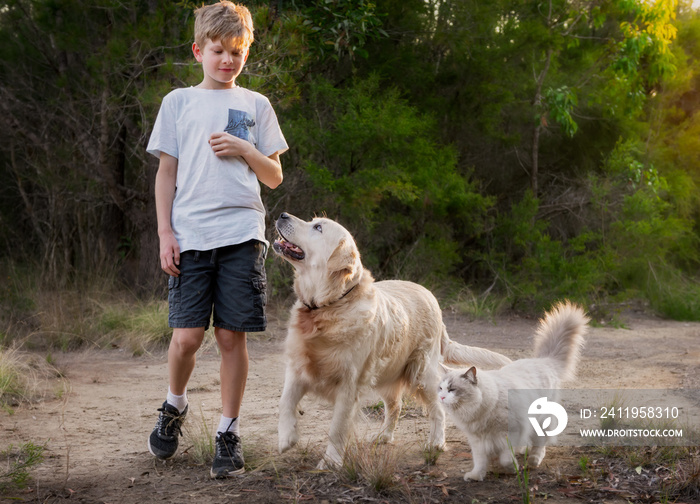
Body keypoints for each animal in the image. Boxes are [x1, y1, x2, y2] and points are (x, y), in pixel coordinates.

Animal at [272, 211, 508, 466]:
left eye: (318, 227)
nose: (282, 214)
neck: (327, 306)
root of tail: (431, 297)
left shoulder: (348, 385)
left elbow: (337, 427)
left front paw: (331, 462)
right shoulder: (297, 368)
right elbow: (285, 402)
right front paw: (287, 438)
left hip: (421, 374)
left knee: (437, 409)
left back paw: (436, 442)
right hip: (387, 374)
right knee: (395, 406)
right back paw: (383, 436)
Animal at [440, 302, 588, 482]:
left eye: (452, 389)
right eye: (441, 388)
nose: (441, 397)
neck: (481, 410)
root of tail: (544, 361)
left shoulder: (512, 432)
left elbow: (505, 458)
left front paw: (511, 469)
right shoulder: (478, 441)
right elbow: (480, 461)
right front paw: (476, 476)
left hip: (540, 421)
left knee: (540, 443)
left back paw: (533, 460)